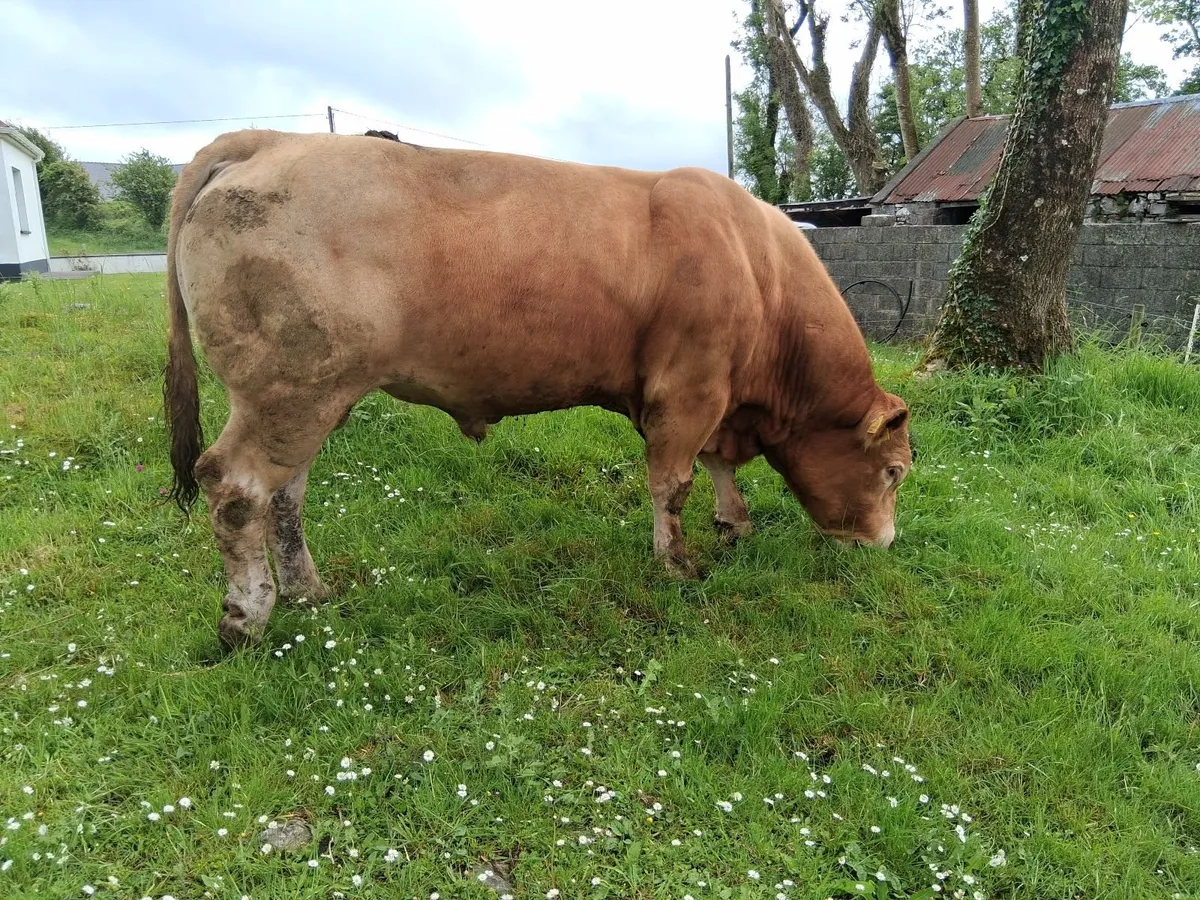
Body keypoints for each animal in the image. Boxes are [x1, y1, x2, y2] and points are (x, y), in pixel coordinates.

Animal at [163, 129, 912, 649]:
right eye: (894, 472)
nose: (884, 544)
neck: (756, 266)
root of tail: (268, 139)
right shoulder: (689, 389)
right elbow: (674, 482)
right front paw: (677, 566)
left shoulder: (715, 398)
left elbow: (718, 465)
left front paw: (735, 525)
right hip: (288, 390)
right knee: (235, 490)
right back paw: (245, 618)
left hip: (308, 399)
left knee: (284, 497)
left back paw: (308, 591)